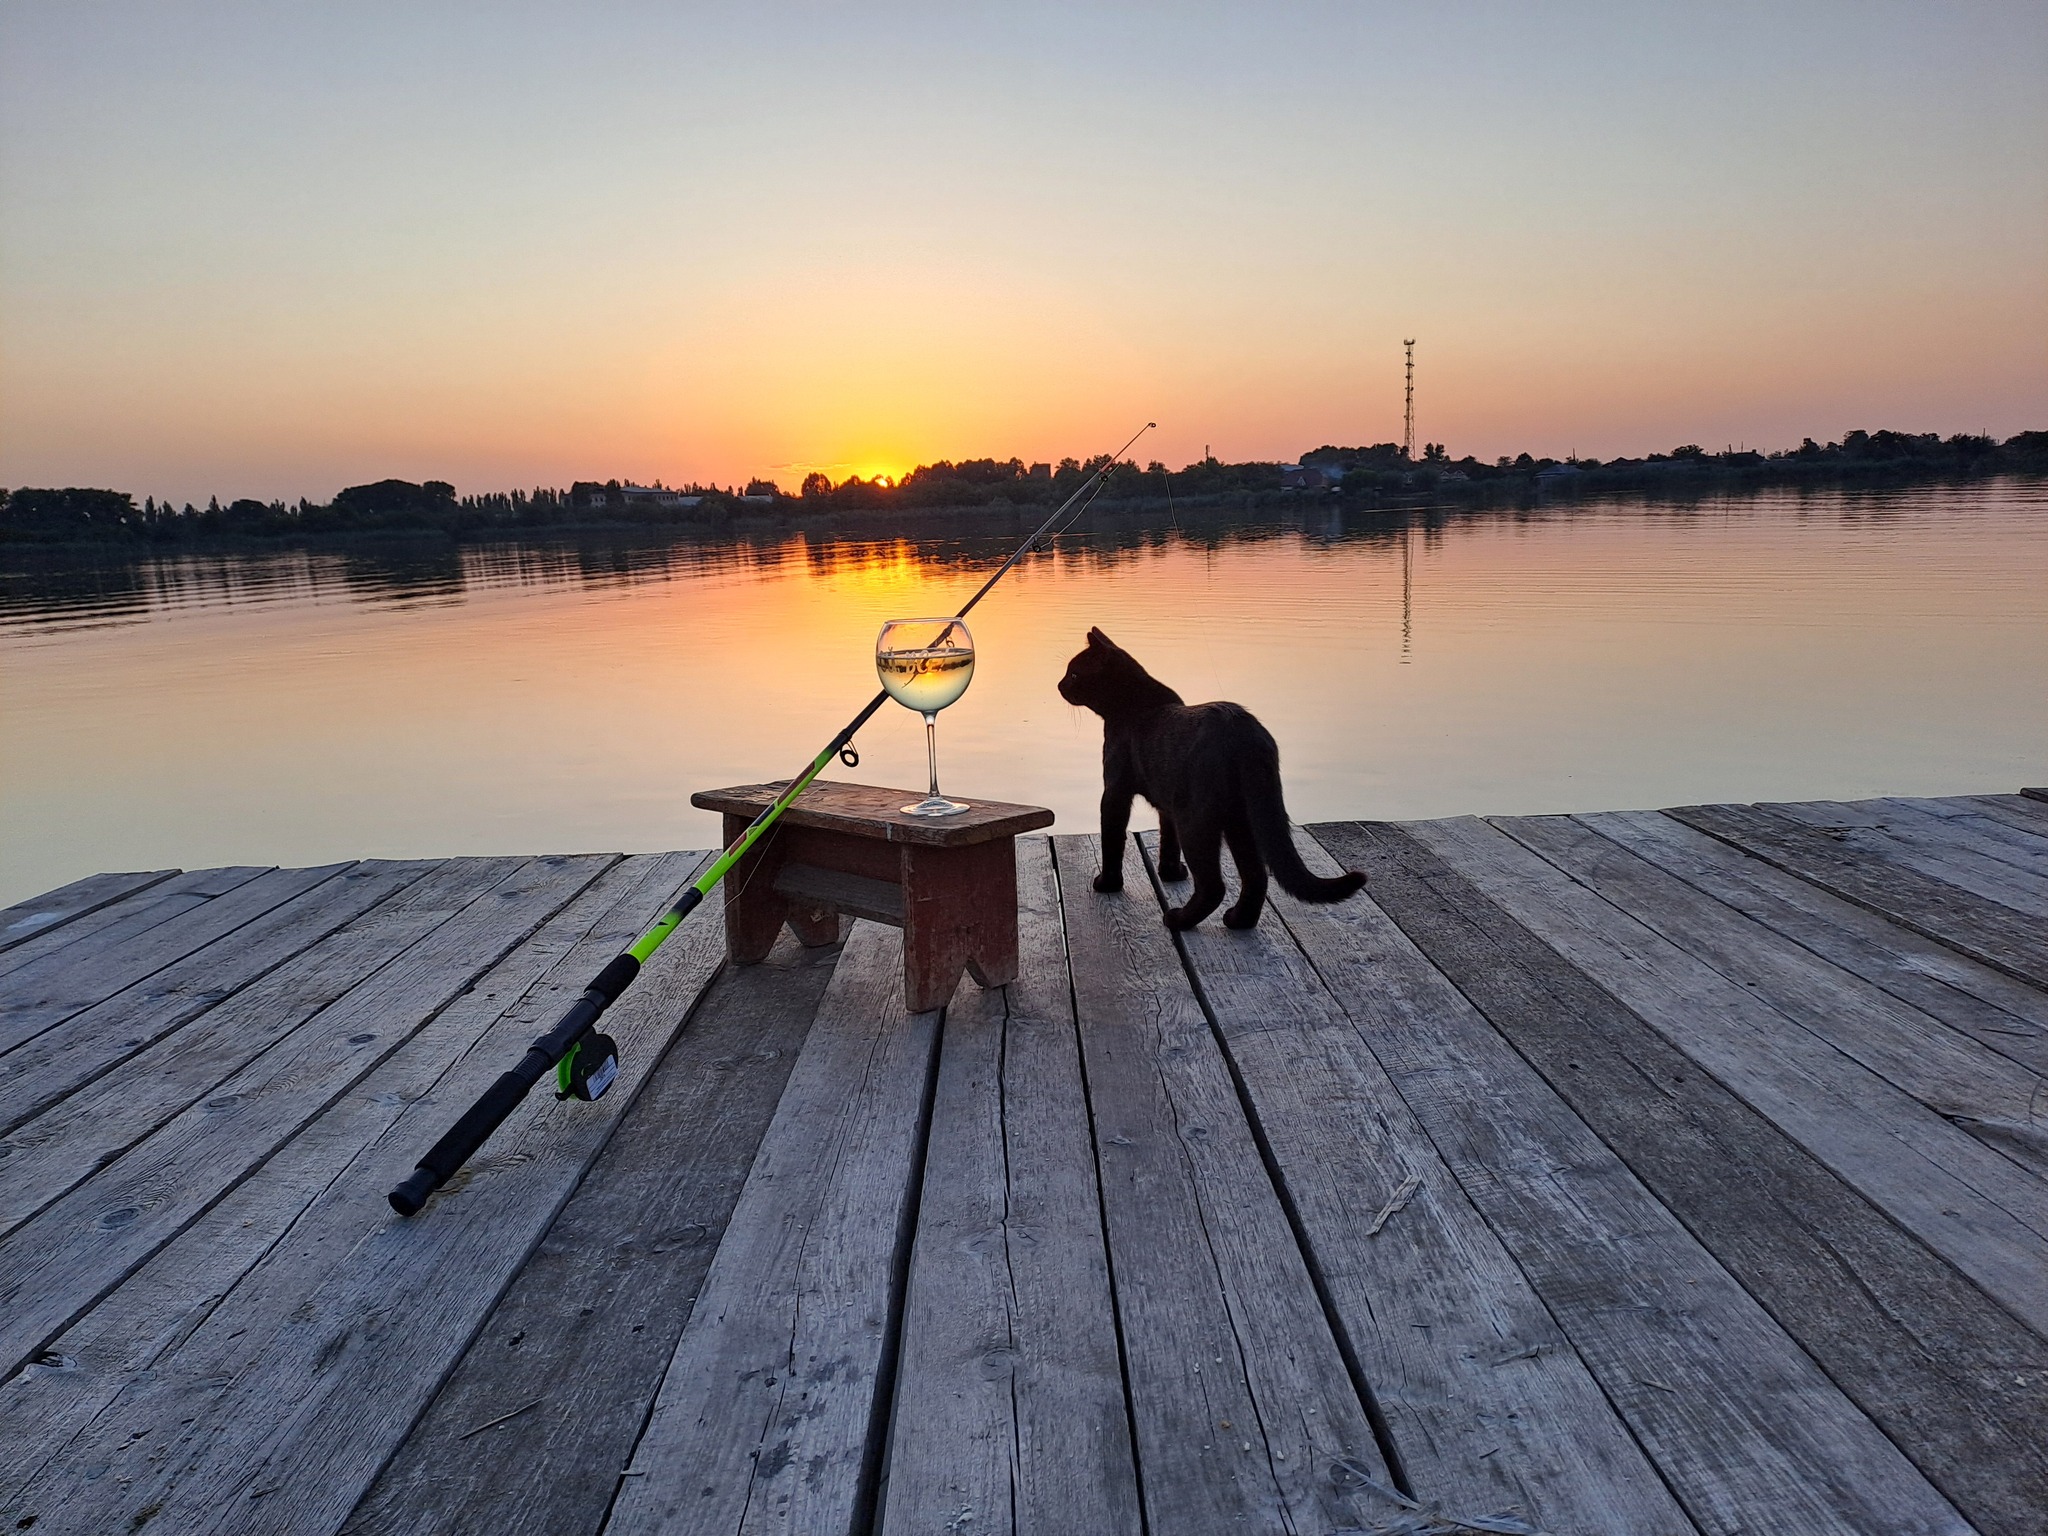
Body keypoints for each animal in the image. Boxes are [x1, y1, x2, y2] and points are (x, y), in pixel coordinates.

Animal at [1056, 626, 1359, 937]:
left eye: (1074, 674)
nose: (1059, 685)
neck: (1134, 704)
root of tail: (1244, 731)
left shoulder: (1115, 791)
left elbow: (1112, 839)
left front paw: (1108, 883)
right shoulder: (1167, 803)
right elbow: (1167, 839)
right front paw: (1171, 872)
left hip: (1197, 820)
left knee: (1214, 886)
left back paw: (1178, 919)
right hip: (1241, 819)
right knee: (1256, 875)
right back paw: (1239, 920)